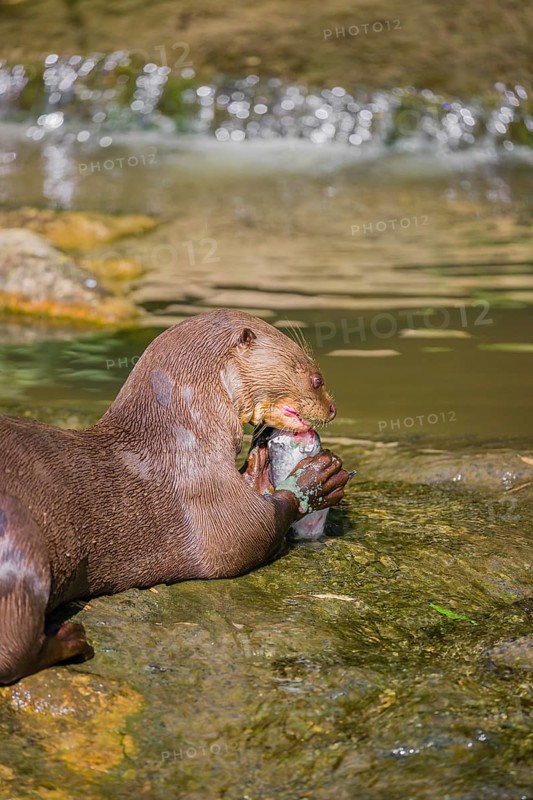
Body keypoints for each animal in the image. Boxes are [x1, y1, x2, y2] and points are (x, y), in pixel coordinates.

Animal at [0, 309, 349, 684]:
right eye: (316, 379)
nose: (333, 409)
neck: (184, 437)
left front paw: (260, 468)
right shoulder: (207, 499)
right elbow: (254, 531)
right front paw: (318, 479)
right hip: (20, 536)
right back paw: (71, 640)